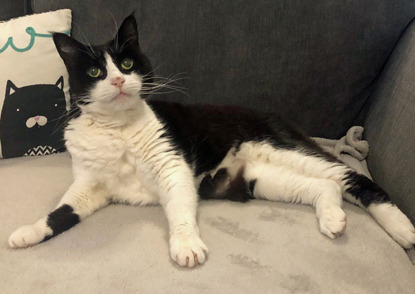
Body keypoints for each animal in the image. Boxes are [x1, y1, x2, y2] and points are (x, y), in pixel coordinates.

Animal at [7, 14, 415, 268]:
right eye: (94, 72)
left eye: (126, 64)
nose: (120, 81)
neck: (117, 129)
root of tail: (279, 116)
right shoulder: (91, 185)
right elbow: (63, 210)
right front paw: (29, 232)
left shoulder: (172, 165)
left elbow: (180, 210)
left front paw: (186, 246)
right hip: (257, 177)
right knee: (322, 186)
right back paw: (332, 218)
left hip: (282, 147)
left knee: (350, 177)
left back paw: (402, 228)